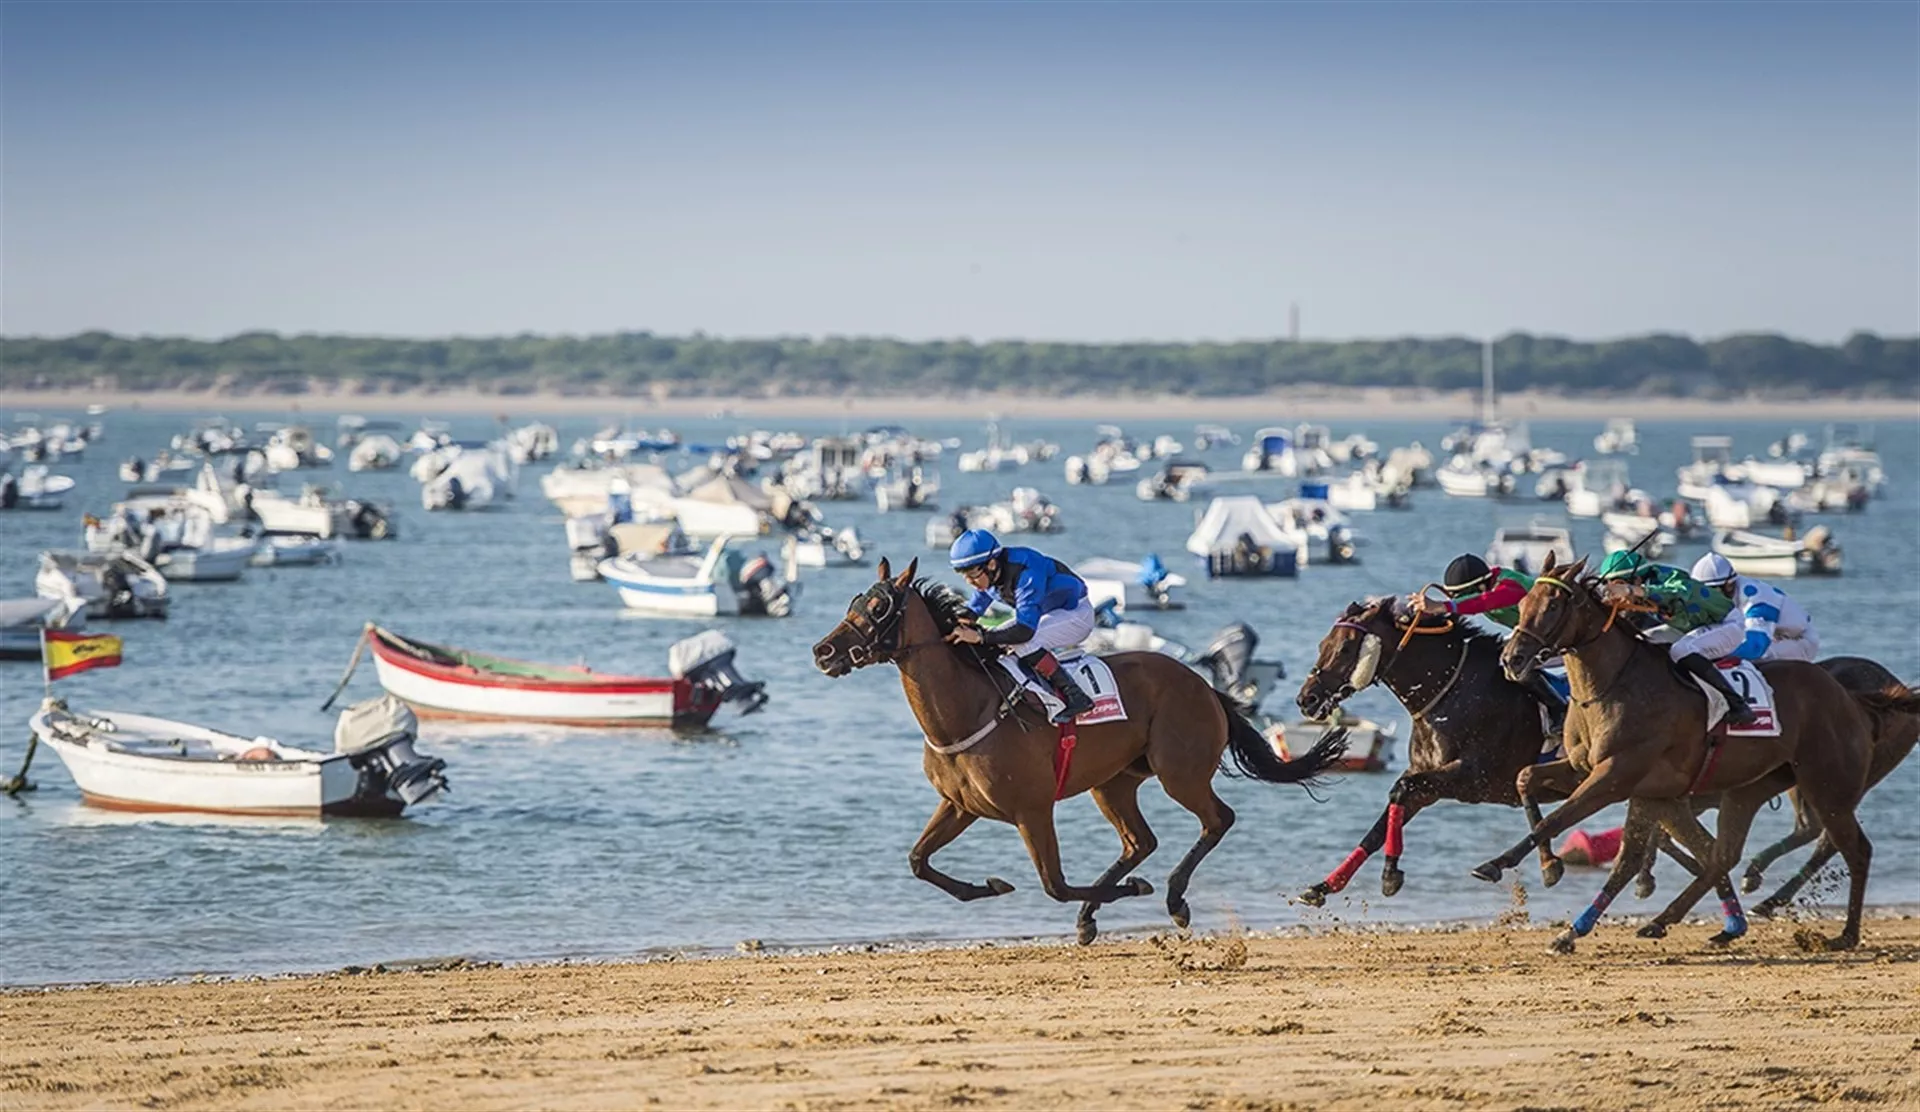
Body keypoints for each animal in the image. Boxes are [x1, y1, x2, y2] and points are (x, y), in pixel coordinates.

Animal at [817, 560, 1344, 944]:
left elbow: (1054, 885)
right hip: (1114, 783)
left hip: (1180, 773)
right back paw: (1102, 910)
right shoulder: (959, 805)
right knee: (1139, 841)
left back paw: (1172, 899)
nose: (823, 652)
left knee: (1217, 820)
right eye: (854, 601)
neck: (969, 709)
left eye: (880, 607)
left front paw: (1128, 890)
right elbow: (918, 861)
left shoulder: (1032, 809)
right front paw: (989, 885)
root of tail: (1205, 686)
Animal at [1474, 553, 1896, 952]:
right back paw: (1678, 923)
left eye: (1552, 606)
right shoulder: (1588, 770)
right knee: (1719, 855)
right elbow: (1525, 779)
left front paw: (1497, 864)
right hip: (1746, 789)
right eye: (1524, 601)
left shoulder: (1615, 776)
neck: (1614, 685)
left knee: (1855, 849)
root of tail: (1851, 698)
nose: (1511, 659)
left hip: (1827, 787)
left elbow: (1557, 819)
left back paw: (1845, 934)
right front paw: (1549, 866)